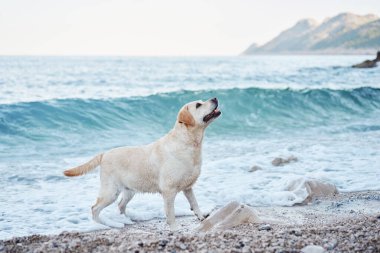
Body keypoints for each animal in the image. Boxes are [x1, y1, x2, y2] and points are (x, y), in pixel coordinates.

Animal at [63, 97, 221, 231]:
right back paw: (107, 224)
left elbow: (194, 203)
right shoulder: (169, 190)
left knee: (121, 205)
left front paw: (201, 217)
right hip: (111, 192)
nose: (215, 98)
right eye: (198, 105)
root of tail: (104, 154)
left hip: (129, 190)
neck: (188, 142)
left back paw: (126, 219)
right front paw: (175, 229)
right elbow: (171, 213)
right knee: (95, 208)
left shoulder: (188, 187)